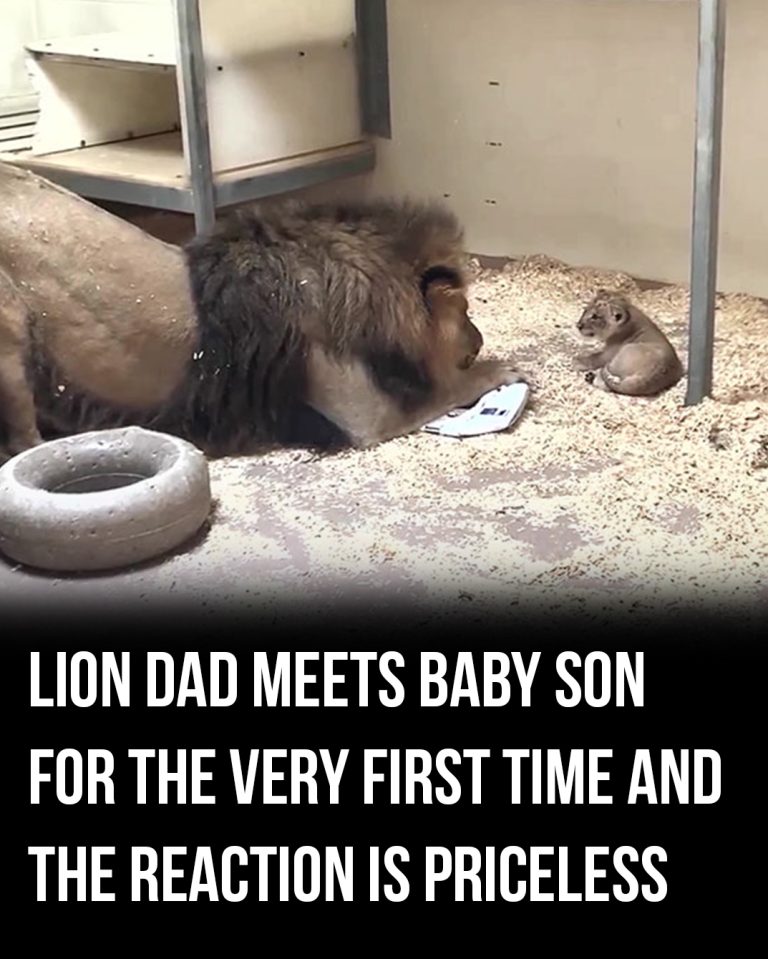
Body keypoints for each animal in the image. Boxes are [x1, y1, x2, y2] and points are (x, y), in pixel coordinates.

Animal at [0, 161, 526, 460]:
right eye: (465, 310)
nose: (478, 340)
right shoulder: (365, 415)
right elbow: (446, 389)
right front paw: (502, 370)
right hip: (10, 343)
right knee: (23, 445)